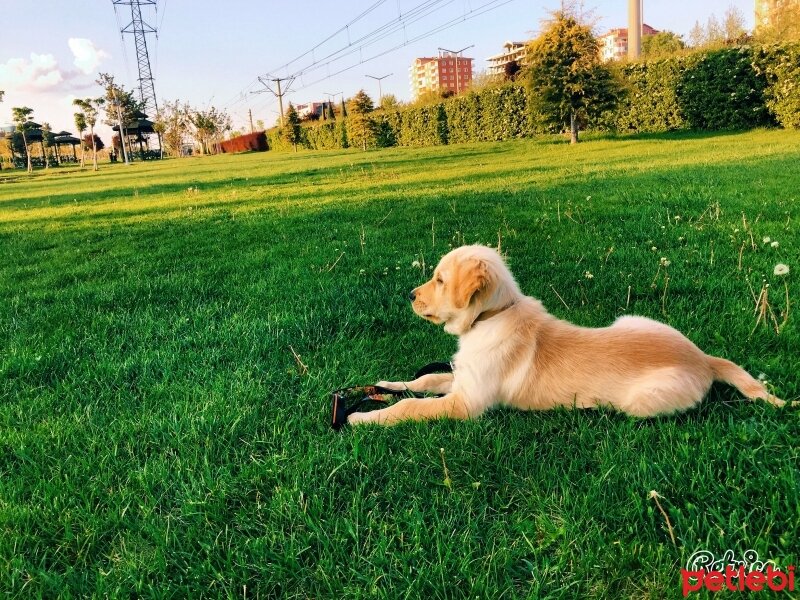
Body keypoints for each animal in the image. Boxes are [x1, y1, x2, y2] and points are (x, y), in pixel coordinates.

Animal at [346, 245, 792, 426]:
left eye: (439, 280)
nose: (409, 295)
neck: (491, 317)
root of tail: (702, 358)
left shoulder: (468, 403)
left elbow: (411, 408)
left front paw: (362, 417)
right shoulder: (462, 378)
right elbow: (425, 379)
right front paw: (384, 386)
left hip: (641, 402)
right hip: (631, 318)